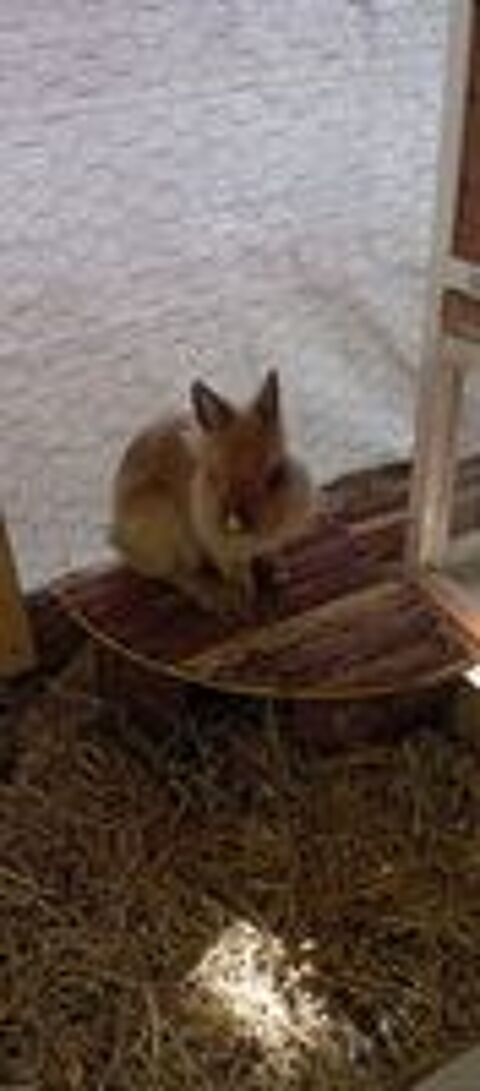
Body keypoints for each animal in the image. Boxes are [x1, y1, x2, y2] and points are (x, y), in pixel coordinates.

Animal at [110, 370, 314, 615]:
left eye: (276, 474)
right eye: (214, 475)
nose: (237, 523)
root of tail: (118, 539)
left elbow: (270, 553)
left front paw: (279, 573)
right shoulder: (219, 550)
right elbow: (237, 575)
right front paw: (246, 600)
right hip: (162, 525)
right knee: (175, 574)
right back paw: (213, 595)